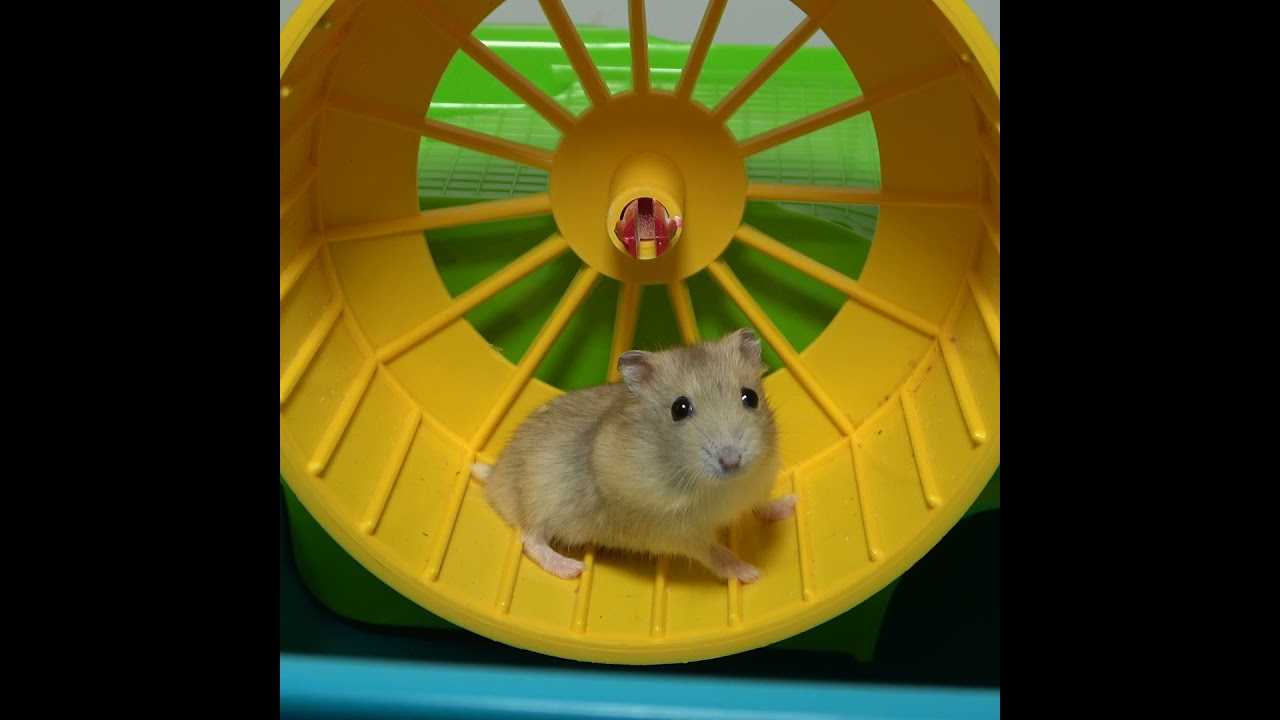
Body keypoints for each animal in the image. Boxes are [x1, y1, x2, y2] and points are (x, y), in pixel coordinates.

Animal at [472, 327, 796, 584]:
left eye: (750, 397)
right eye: (679, 409)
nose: (732, 462)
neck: (721, 486)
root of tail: (494, 478)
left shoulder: (752, 488)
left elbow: (758, 507)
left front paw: (791, 503)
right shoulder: (676, 533)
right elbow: (714, 552)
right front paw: (751, 573)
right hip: (539, 501)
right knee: (529, 539)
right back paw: (573, 570)